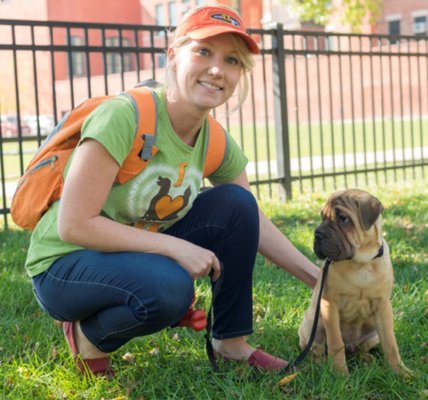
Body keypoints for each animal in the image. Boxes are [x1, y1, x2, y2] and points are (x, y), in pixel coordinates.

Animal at [298, 188, 412, 376]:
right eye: (322, 217)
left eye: (343, 218)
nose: (317, 234)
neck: (361, 263)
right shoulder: (330, 305)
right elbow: (336, 343)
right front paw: (339, 373)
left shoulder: (383, 306)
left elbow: (390, 343)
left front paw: (402, 371)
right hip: (311, 325)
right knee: (317, 349)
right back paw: (319, 364)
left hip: (373, 333)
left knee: (361, 349)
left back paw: (367, 359)